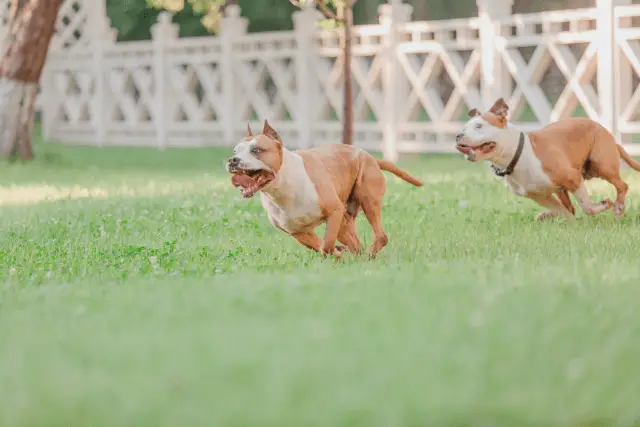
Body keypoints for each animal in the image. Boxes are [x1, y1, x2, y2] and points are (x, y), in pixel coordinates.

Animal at [456, 98, 640, 221]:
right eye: (464, 128)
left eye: (479, 126)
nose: (458, 135)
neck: (518, 155)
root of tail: (609, 135)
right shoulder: (538, 195)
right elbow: (564, 210)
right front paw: (561, 218)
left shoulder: (573, 178)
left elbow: (587, 207)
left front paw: (603, 205)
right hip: (562, 188)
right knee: (569, 206)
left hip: (601, 164)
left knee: (622, 185)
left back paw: (619, 207)